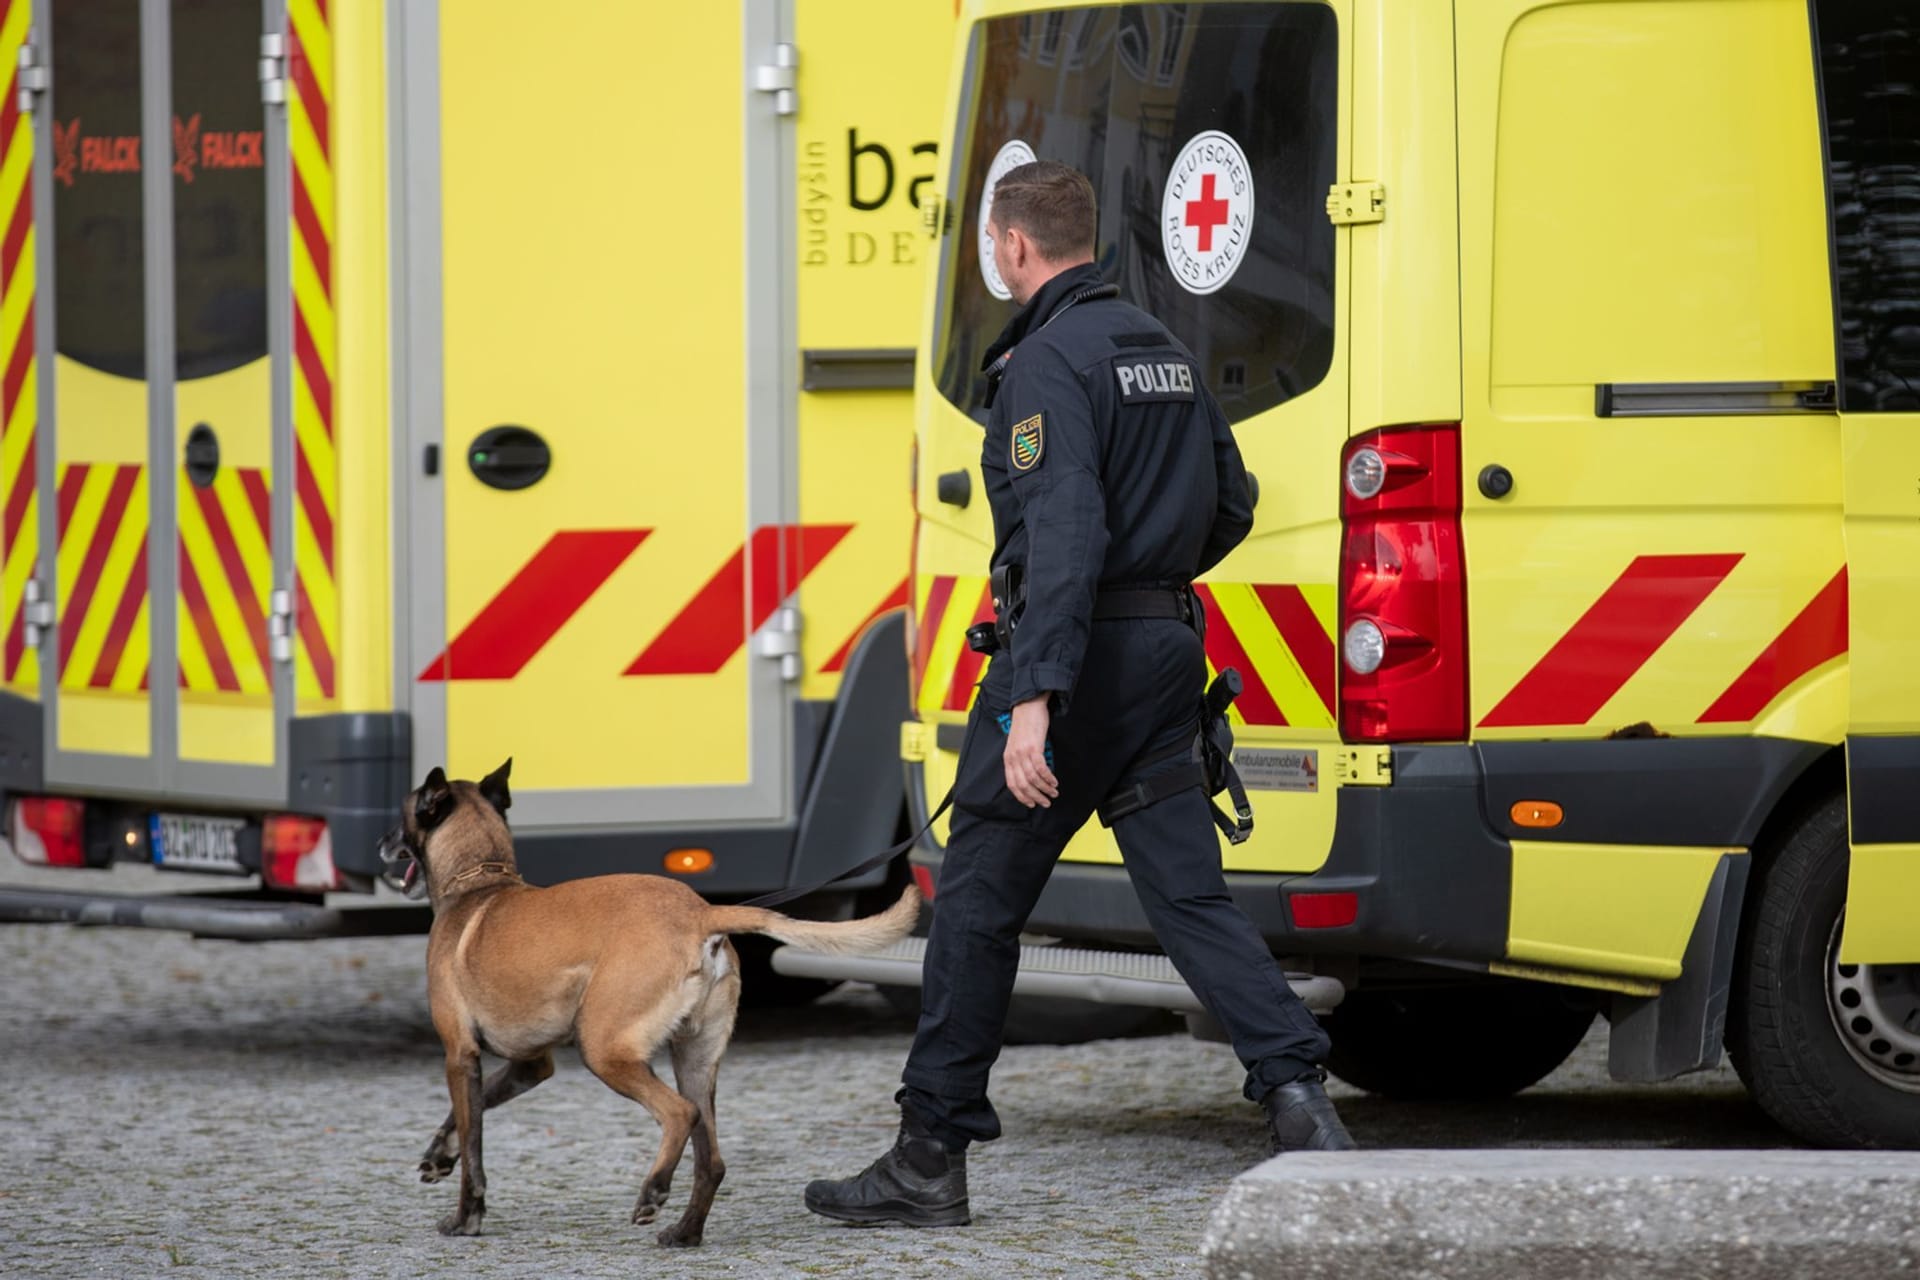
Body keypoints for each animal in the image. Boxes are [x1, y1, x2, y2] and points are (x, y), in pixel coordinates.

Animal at [380, 759, 921, 1243]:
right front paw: (439, 1154)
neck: (479, 881)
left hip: (606, 1050)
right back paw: (684, 1232)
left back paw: (654, 1192)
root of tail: (701, 912)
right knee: (711, 1158)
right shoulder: (529, 1065)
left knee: (679, 1114)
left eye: (402, 815)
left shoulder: (460, 1055)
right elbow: (468, 1116)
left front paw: (465, 1218)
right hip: (694, 1061)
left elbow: (474, 1147)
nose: (381, 844)